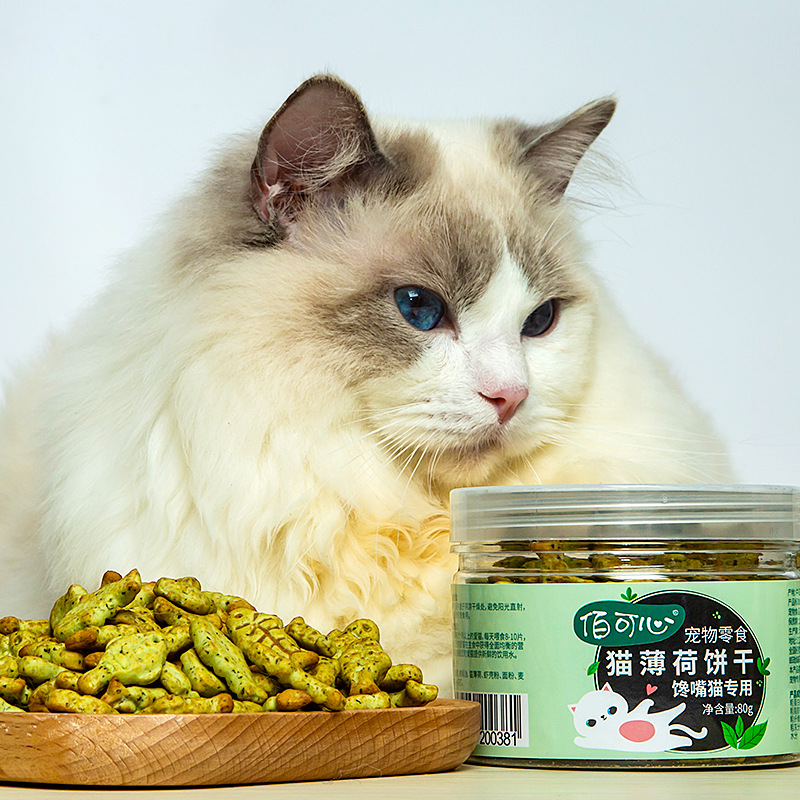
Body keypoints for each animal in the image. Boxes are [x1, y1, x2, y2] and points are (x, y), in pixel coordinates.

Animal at [570, 683, 708, 751]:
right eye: (591, 723)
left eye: (611, 710)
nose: (604, 716)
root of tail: (667, 729)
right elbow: (586, 741)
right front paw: (578, 740)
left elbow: (641, 708)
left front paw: (648, 702)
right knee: (679, 739)